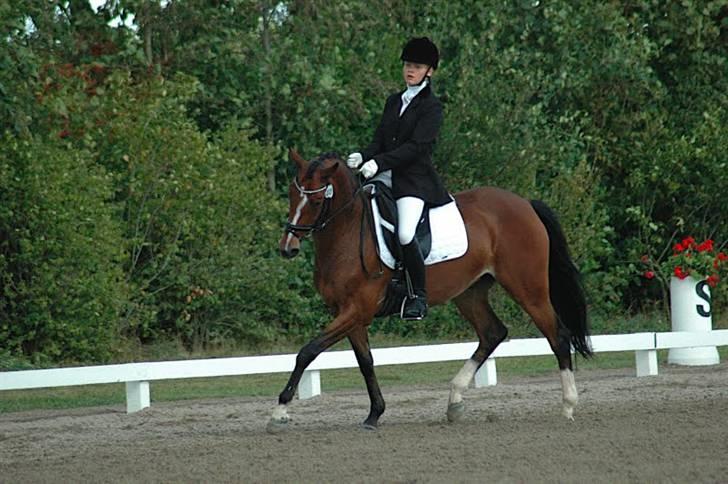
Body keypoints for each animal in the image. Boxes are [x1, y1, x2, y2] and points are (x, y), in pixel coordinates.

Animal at [269, 149, 591, 432]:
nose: (288, 248)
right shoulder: (348, 314)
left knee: (558, 336)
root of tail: (525, 204)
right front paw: (375, 414)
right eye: (292, 195)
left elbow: (308, 351)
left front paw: (280, 411)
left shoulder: (357, 310)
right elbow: (365, 362)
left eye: (315, 201)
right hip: (469, 293)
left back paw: (568, 406)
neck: (345, 235)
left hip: (529, 289)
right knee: (492, 333)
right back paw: (455, 401)